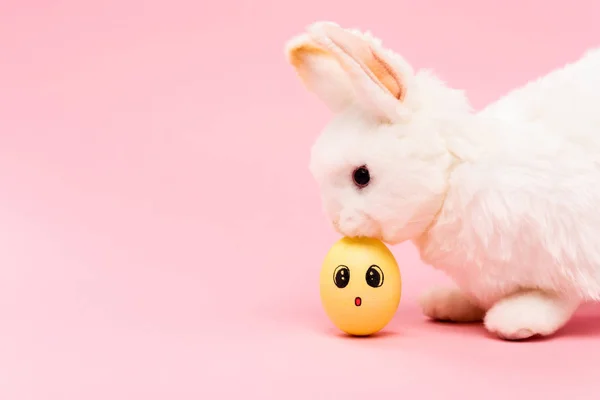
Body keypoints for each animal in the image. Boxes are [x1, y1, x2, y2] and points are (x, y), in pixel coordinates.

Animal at [284, 21, 600, 340]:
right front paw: (449, 303)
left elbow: (555, 296)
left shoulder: (570, 245)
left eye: (362, 176)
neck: (452, 176)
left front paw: (518, 319)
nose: (338, 223)